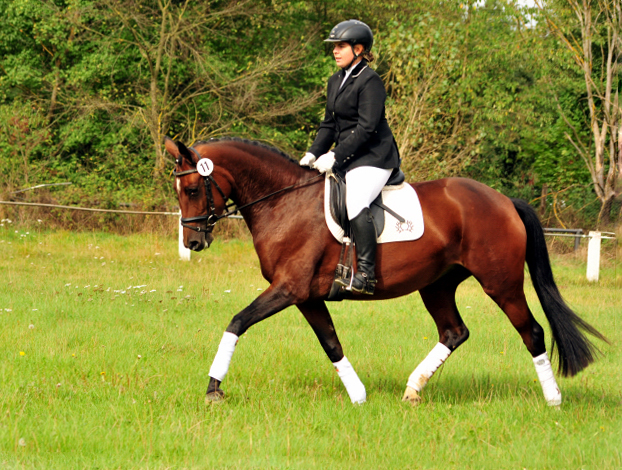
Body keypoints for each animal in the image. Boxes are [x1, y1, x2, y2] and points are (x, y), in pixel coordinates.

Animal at [168, 137, 608, 408]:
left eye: (191, 190)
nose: (193, 242)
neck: (284, 202)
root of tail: (503, 200)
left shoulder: (288, 289)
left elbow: (237, 321)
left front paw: (213, 389)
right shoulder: (305, 296)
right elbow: (331, 343)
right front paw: (359, 395)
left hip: (501, 284)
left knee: (531, 332)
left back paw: (553, 400)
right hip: (437, 285)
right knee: (454, 332)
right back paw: (413, 389)